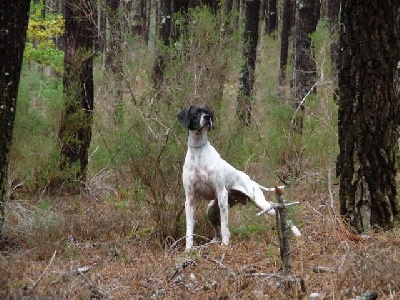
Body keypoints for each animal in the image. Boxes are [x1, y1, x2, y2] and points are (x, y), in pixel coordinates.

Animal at [178, 104, 300, 250]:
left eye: (207, 112)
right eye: (196, 113)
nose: (207, 118)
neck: (198, 151)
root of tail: (252, 181)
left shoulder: (221, 193)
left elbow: (225, 225)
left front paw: (225, 244)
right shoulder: (190, 198)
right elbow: (189, 228)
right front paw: (188, 249)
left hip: (260, 203)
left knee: (284, 215)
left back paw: (297, 234)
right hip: (211, 209)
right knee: (217, 231)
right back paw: (212, 242)